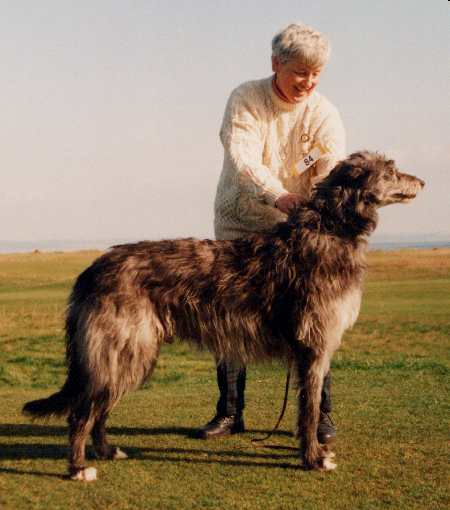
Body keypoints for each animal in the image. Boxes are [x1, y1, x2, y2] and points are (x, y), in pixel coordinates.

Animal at [23, 150, 426, 478]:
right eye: (391, 170)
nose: (422, 182)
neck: (329, 229)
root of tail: (91, 270)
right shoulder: (312, 347)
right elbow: (309, 410)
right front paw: (313, 459)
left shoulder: (315, 347)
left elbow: (309, 408)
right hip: (122, 347)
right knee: (82, 411)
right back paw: (77, 468)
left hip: (129, 352)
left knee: (100, 409)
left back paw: (107, 451)